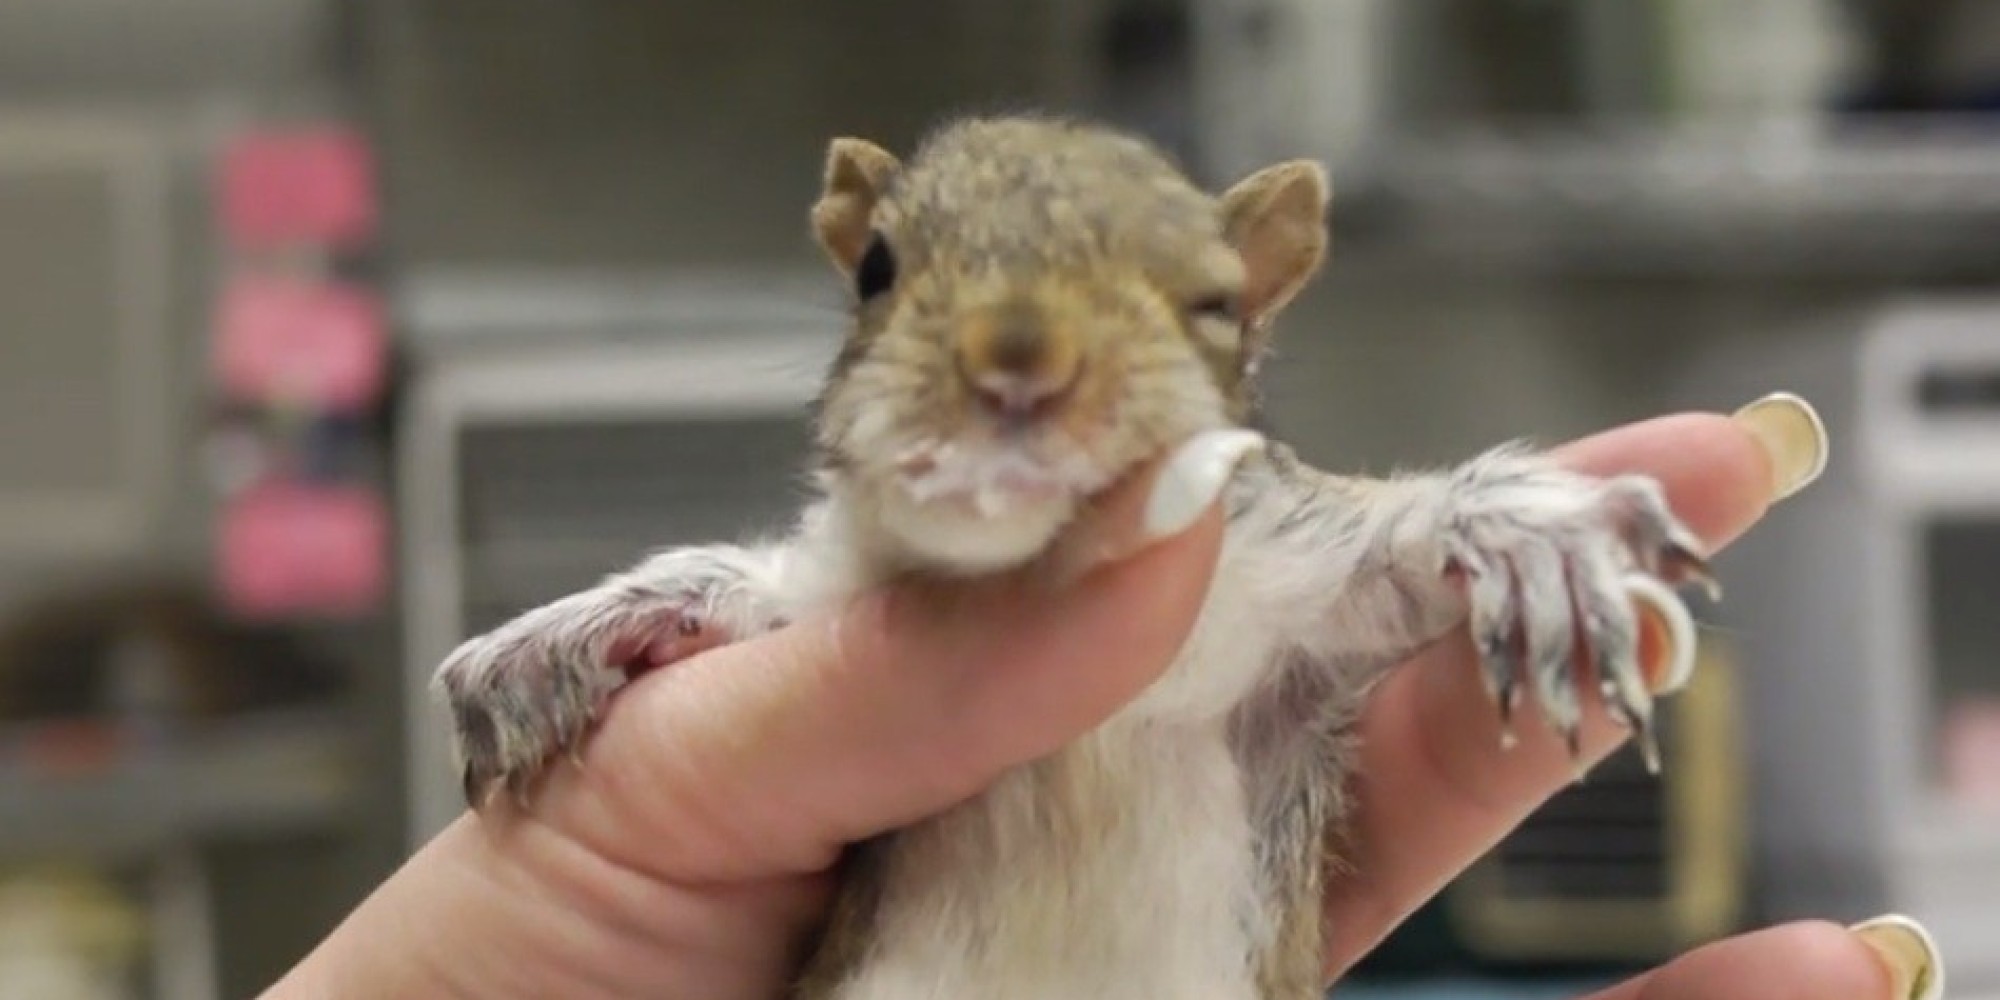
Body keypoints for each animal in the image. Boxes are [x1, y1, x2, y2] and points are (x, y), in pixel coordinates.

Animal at [432, 114, 1715, 1000]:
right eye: (876, 269)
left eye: (1215, 302)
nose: (1018, 362)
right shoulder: (835, 589)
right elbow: (754, 588)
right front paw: (549, 640)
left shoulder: (1291, 613)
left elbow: (1393, 551)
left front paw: (1533, 542)